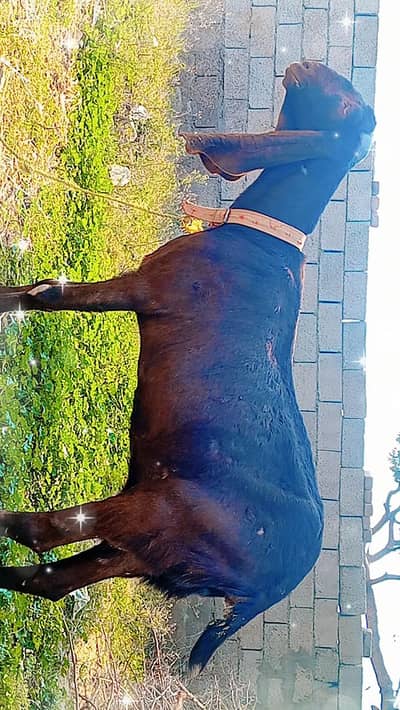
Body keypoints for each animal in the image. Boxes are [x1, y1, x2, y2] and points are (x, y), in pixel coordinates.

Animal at [0, 62, 375, 675]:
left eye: (339, 92)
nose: (301, 66)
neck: (261, 238)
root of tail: (266, 591)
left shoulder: (144, 288)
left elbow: (47, 295)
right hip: (155, 553)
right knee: (49, 580)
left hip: (158, 512)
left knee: (42, 532)